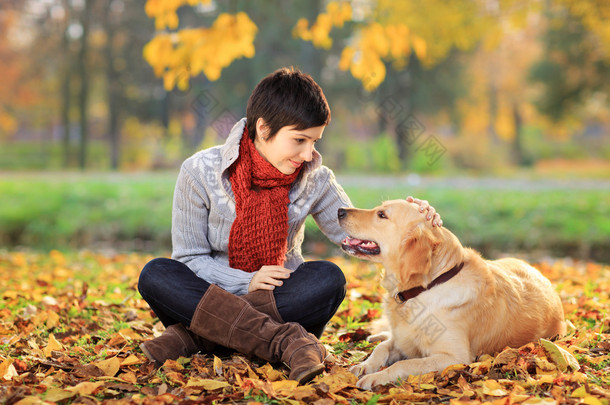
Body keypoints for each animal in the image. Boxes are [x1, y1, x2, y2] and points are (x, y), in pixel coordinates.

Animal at [334, 199, 564, 388]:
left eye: (382, 214)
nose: (340, 210)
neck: (426, 287)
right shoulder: (403, 340)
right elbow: (382, 347)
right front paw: (365, 365)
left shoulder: (455, 357)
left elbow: (405, 364)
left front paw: (375, 377)